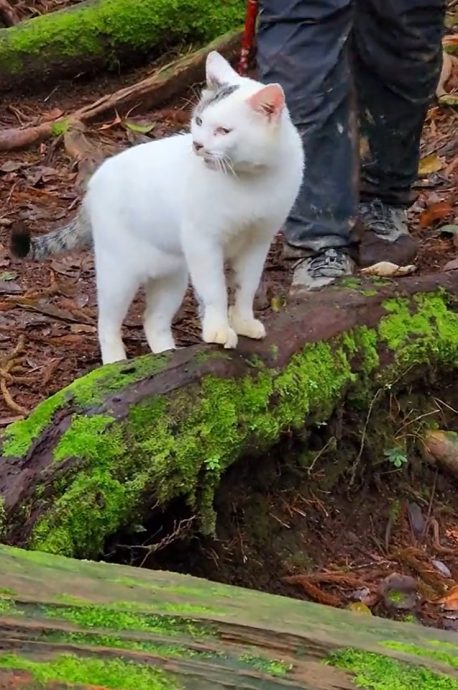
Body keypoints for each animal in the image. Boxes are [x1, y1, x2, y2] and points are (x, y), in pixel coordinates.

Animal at [11, 52, 304, 366]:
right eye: (199, 120)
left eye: (224, 131)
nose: (197, 145)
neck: (249, 180)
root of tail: (92, 185)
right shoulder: (204, 243)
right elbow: (215, 291)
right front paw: (218, 330)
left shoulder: (257, 242)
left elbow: (245, 287)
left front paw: (244, 322)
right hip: (118, 274)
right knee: (107, 323)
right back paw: (115, 363)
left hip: (172, 276)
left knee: (153, 321)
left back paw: (166, 355)